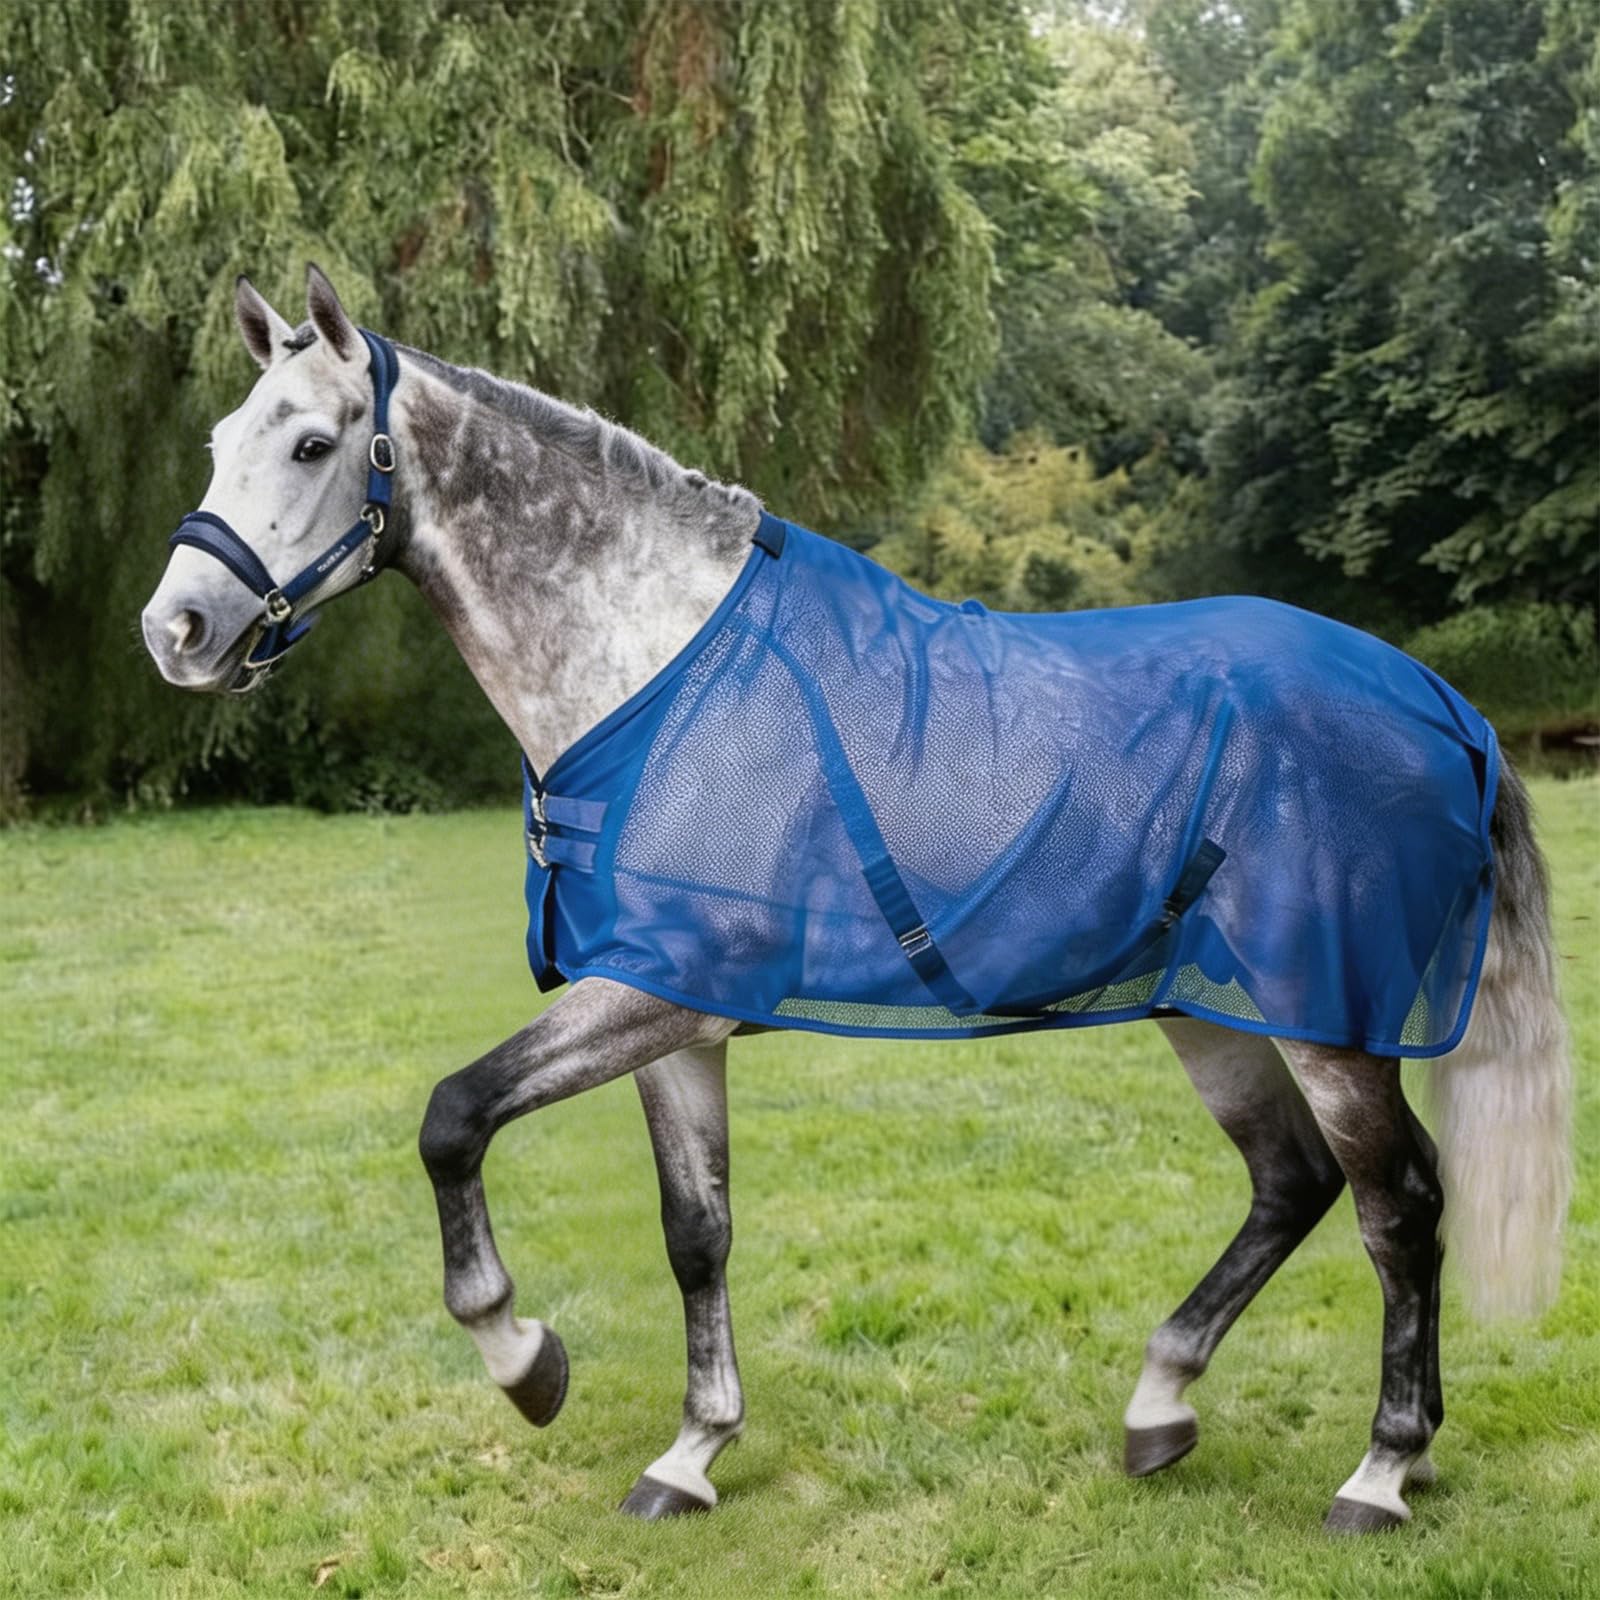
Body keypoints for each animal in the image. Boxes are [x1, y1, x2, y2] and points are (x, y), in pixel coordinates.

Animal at [140, 265, 1571, 1535]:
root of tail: (1436, 700)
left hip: (1328, 1025)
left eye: (313, 443)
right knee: (1290, 1183)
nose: (178, 631)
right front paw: (691, 1452)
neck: (649, 666)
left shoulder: (646, 994)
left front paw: (523, 1357)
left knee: (1399, 1209)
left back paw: (1379, 1471)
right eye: (216, 444)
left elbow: (452, 1118)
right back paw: (1165, 1406)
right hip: (1211, 1010)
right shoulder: (671, 1021)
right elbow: (696, 1231)